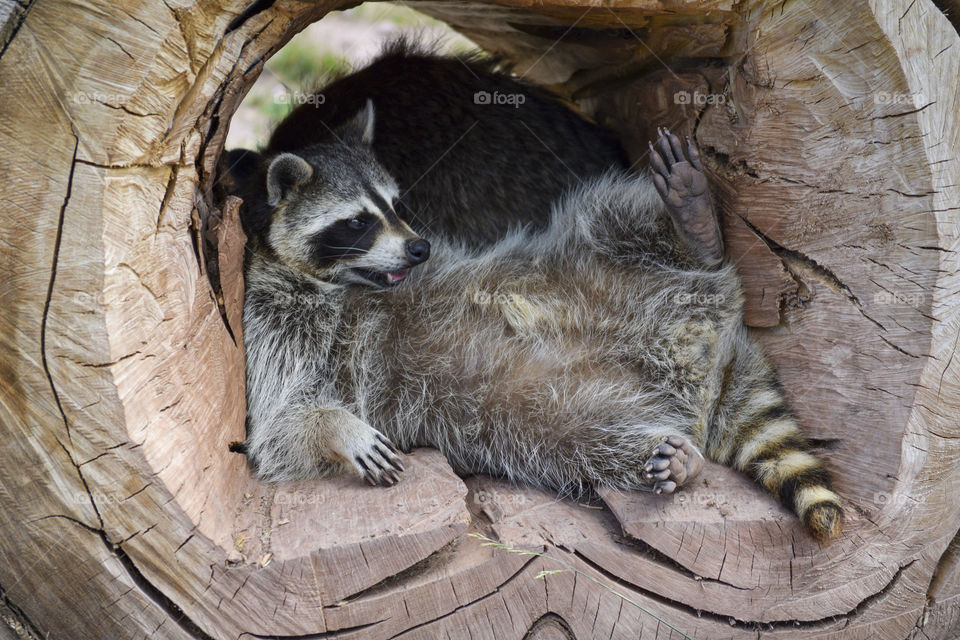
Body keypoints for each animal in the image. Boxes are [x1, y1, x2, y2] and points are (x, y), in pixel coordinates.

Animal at [240, 105, 840, 540]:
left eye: (397, 204)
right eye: (357, 222)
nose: (419, 248)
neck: (346, 284)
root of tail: (711, 349)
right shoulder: (272, 317)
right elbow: (278, 428)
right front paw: (338, 429)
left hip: (589, 254)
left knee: (610, 212)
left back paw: (695, 232)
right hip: (553, 416)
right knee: (588, 444)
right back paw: (670, 460)